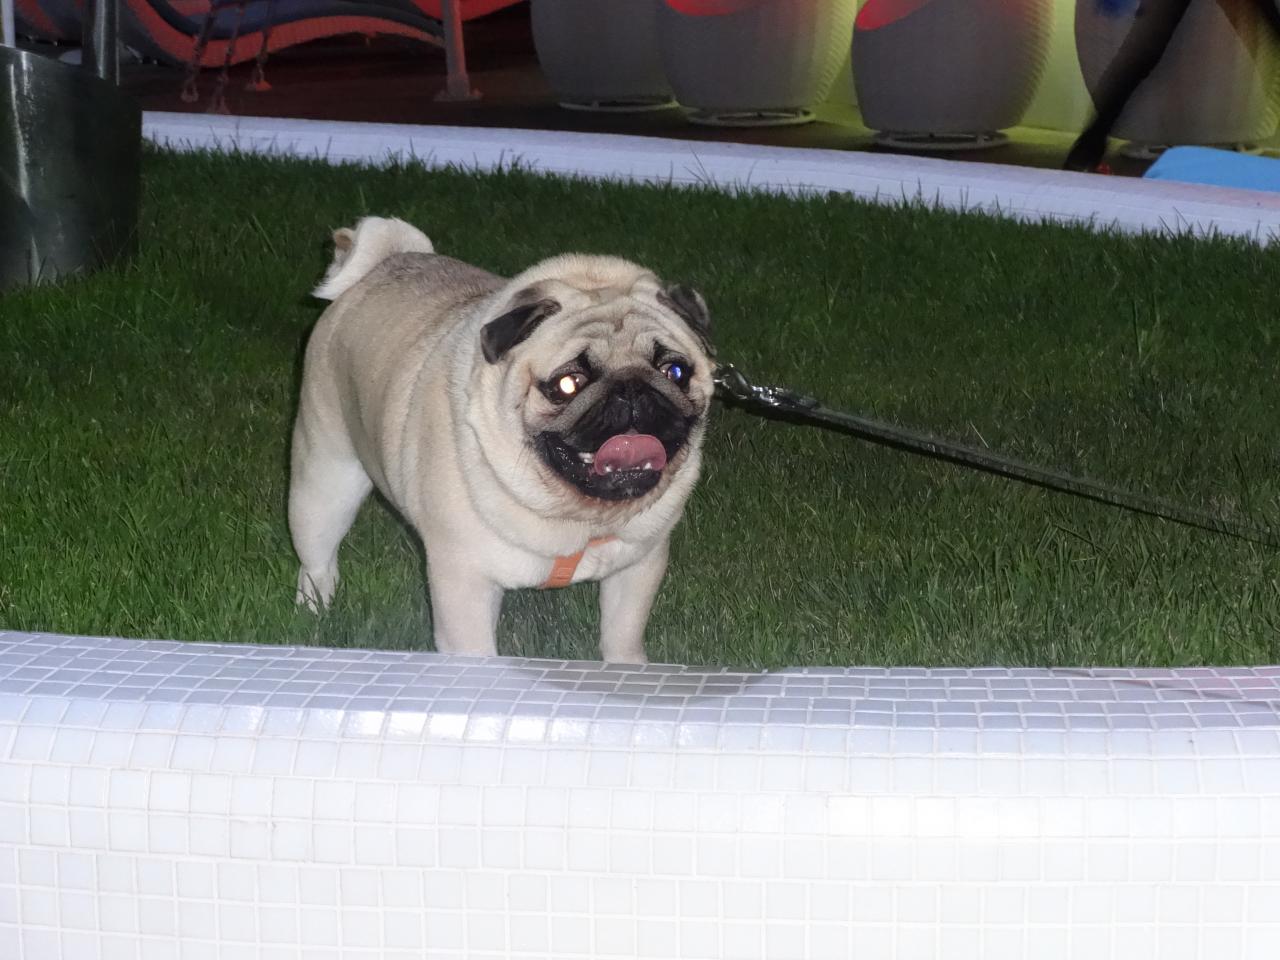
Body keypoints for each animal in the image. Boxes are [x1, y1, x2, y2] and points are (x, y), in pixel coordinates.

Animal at [289, 217, 715, 663]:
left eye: (675, 372)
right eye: (568, 384)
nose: (631, 389)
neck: (577, 516)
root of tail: (387, 260)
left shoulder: (638, 567)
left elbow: (622, 636)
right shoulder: (464, 582)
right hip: (326, 480)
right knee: (317, 553)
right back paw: (315, 606)